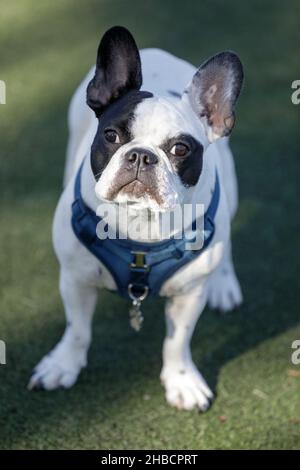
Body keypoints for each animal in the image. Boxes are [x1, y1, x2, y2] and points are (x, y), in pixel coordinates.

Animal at [28, 26, 244, 412]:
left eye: (180, 149)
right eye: (111, 135)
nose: (141, 155)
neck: (140, 220)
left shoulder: (189, 295)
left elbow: (178, 341)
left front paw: (182, 380)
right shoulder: (75, 278)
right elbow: (77, 329)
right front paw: (63, 365)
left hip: (229, 193)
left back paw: (224, 283)